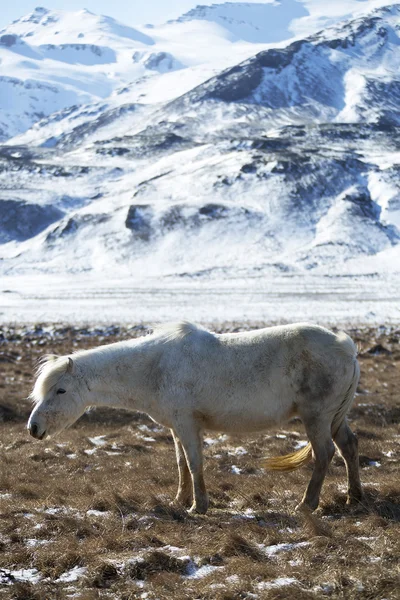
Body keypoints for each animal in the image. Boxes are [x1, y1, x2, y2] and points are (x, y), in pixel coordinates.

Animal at [26, 322, 360, 512]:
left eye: (60, 390)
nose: (33, 427)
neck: (155, 368)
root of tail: (347, 347)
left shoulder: (188, 424)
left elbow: (195, 462)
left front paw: (198, 507)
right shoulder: (177, 427)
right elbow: (181, 464)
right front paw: (180, 501)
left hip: (316, 417)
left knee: (324, 454)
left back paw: (306, 505)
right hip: (333, 418)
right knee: (349, 447)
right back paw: (353, 497)